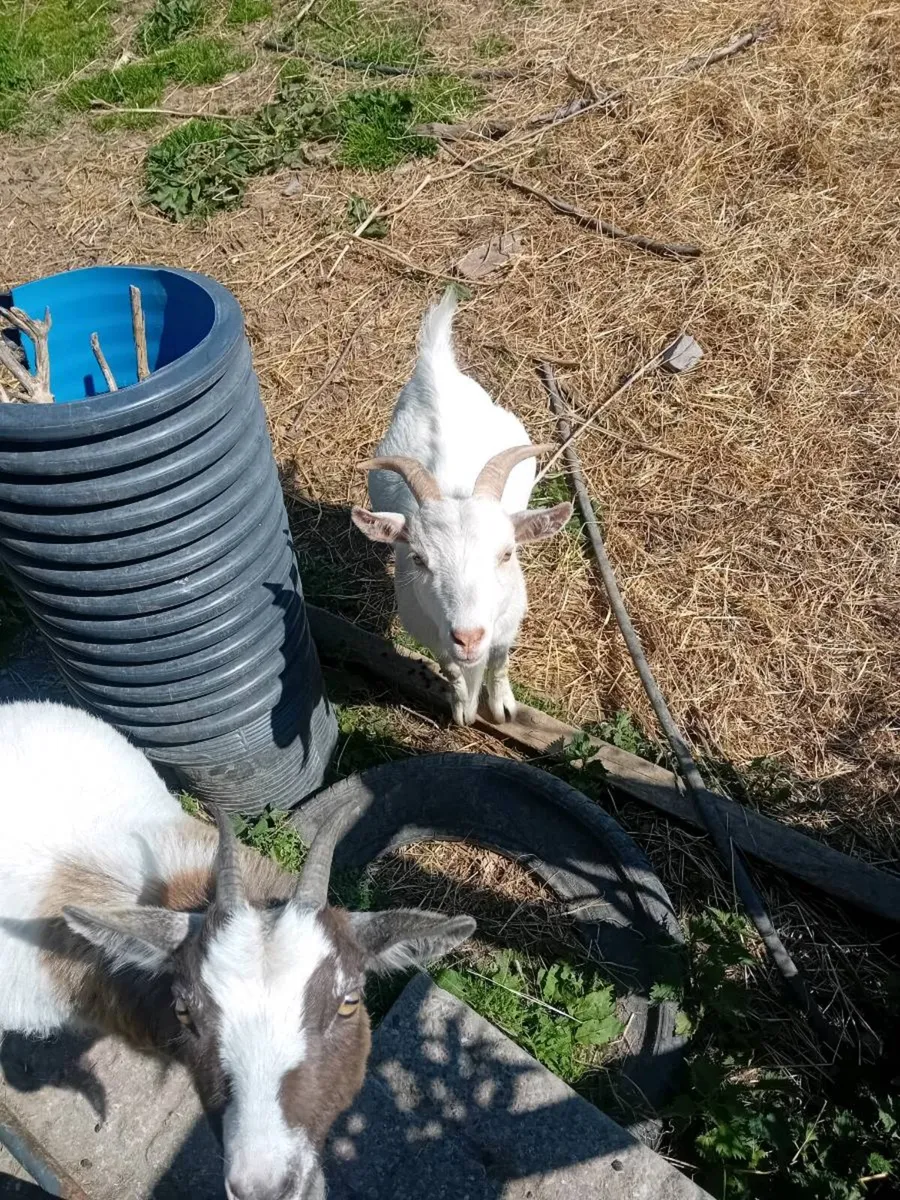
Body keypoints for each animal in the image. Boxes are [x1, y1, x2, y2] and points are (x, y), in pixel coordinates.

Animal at [351, 291, 572, 725]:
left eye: (507, 554)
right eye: (419, 559)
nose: (468, 638)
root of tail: (436, 366)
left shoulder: (507, 622)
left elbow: (500, 660)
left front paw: (502, 707)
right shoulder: (429, 632)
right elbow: (451, 669)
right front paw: (463, 710)